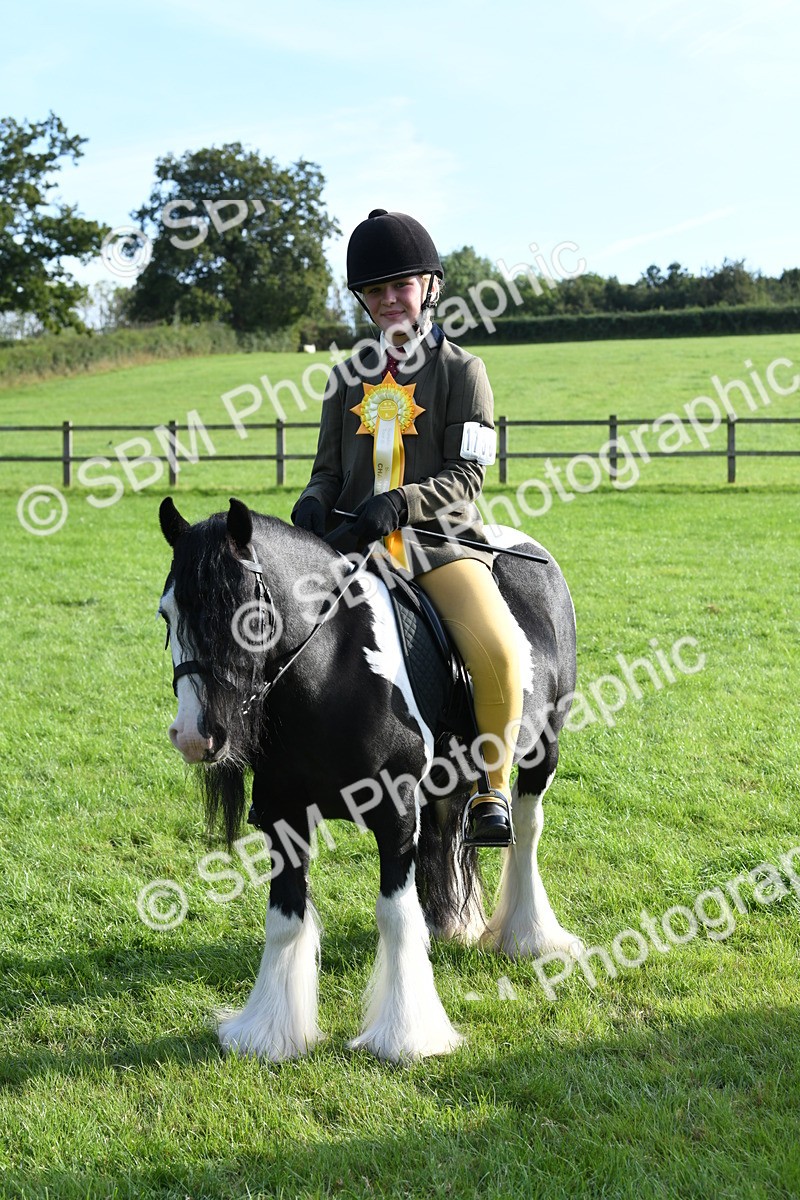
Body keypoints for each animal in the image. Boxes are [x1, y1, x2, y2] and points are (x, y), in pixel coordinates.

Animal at [158, 496, 583, 1062]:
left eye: (247, 614)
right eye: (167, 613)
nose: (193, 735)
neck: (333, 674)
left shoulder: (396, 813)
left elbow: (395, 915)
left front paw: (407, 1036)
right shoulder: (285, 817)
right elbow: (284, 918)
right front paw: (269, 1033)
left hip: (542, 749)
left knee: (527, 832)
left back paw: (530, 935)